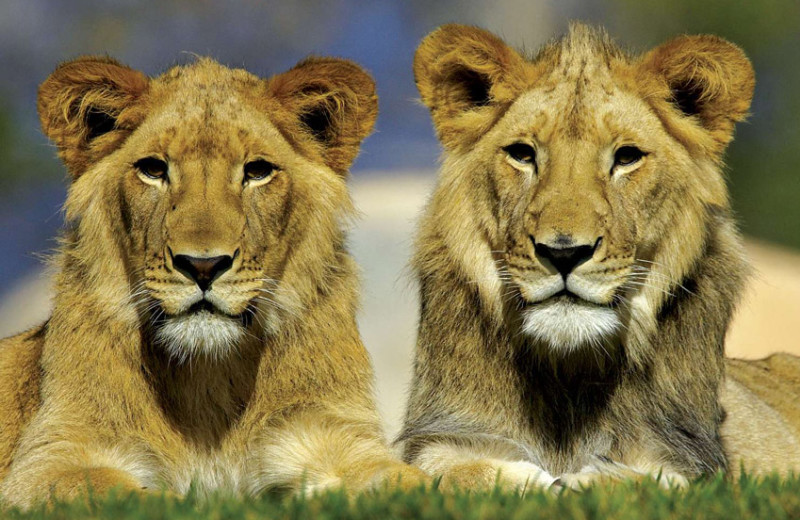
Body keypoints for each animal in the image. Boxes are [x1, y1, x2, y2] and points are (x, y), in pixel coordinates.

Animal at [0, 54, 424, 506]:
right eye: (153, 169)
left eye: (258, 171)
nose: (203, 266)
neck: (208, 380)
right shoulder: (49, 462)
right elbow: (135, 495)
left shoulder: (336, 437)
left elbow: (412, 481)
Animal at [400, 21, 800, 492]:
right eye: (522, 154)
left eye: (627, 157)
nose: (564, 252)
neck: (568, 377)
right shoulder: (438, 436)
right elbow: (448, 471)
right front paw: (532, 482)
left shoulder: (695, 461)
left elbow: (657, 482)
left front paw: (588, 480)